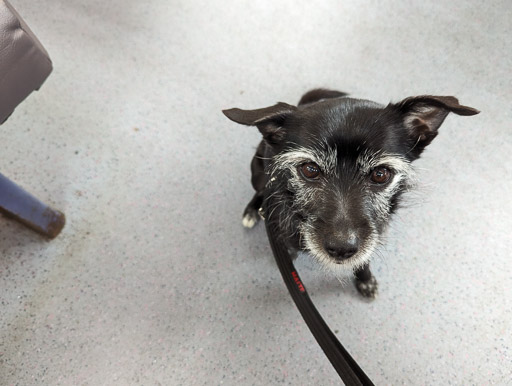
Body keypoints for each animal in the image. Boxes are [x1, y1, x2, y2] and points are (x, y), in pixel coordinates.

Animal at [222, 90, 478, 298]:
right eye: (310, 169)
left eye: (381, 174)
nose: (341, 248)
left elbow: (363, 260)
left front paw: (365, 280)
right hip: (257, 172)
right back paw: (252, 210)